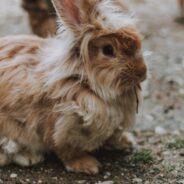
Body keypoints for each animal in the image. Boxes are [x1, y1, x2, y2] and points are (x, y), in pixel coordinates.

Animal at [0, 0, 147, 174]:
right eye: (108, 50)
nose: (143, 72)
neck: (86, 83)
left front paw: (126, 142)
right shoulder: (59, 127)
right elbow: (66, 150)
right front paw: (87, 165)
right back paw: (30, 157)